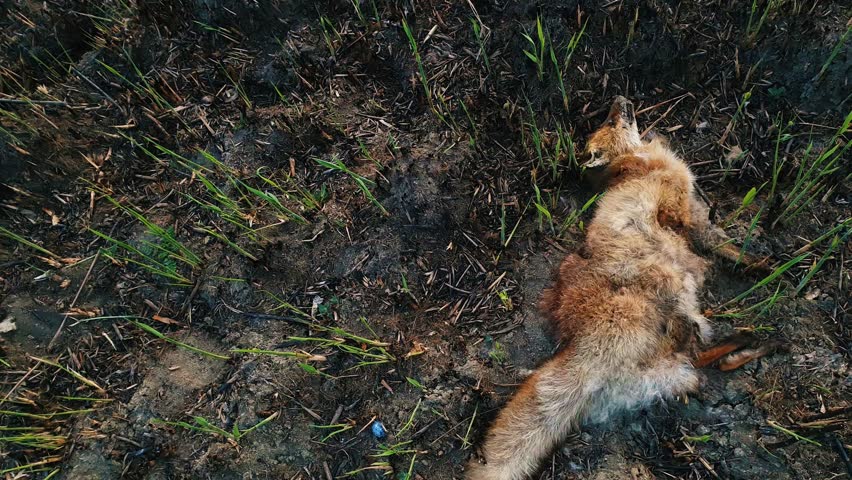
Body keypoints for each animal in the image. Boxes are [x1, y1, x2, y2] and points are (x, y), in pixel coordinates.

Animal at [466, 96, 777, 480]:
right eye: (611, 122)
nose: (619, 99)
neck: (638, 165)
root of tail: (582, 345)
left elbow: (715, 239)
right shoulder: (680, 210)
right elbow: (714, 240)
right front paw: (755, 262)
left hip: (661, 369)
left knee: (700, 362)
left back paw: (755, 343)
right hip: (664, 299)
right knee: (697, 352)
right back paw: (749, 340)